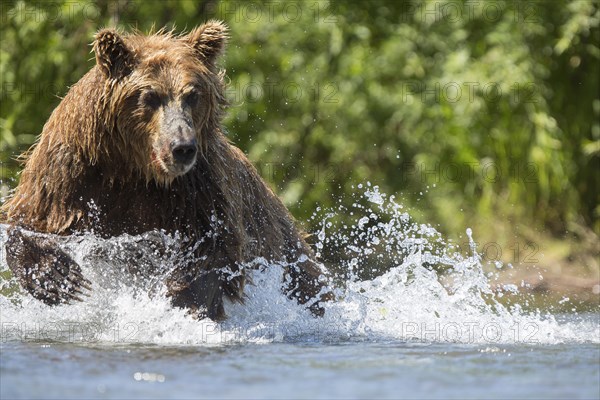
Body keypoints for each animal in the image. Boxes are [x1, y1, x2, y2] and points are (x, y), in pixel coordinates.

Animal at [0, 21, 330, 322]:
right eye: (150, 96)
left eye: (192, 94)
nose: (181, 147)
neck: (134, 167)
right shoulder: (71, 169)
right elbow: (31, 218)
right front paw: (59, 277)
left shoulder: (199, 185)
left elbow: (214, 246)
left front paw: (180, 295)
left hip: (289, 256)